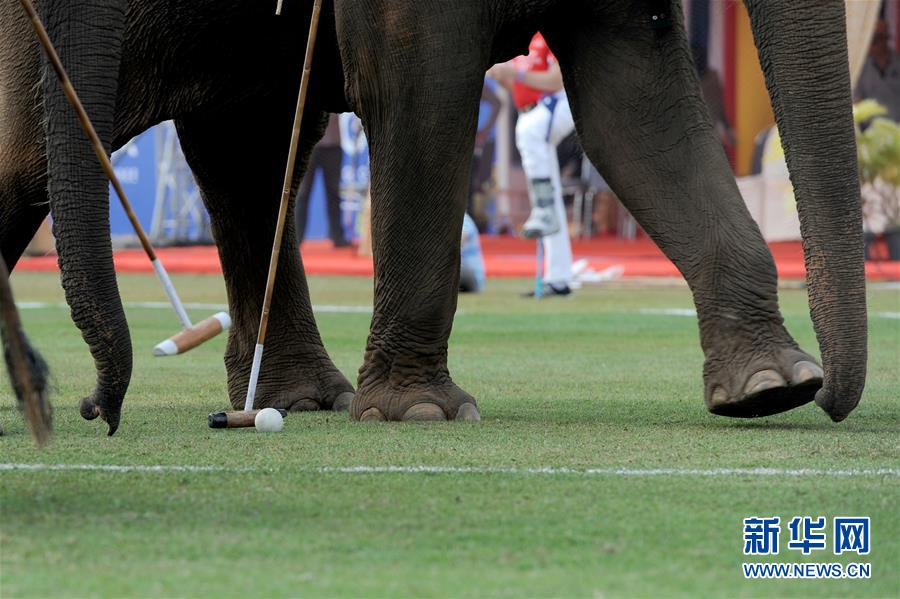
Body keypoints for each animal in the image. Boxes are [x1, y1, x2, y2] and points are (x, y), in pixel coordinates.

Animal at [0, 0, 864, 434]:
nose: (831, 399)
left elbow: (633, 100)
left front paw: (771, 385)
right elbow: (422, 80)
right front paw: (421, 413)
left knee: (249, 146)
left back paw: (298, 400)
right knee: (28, 156)